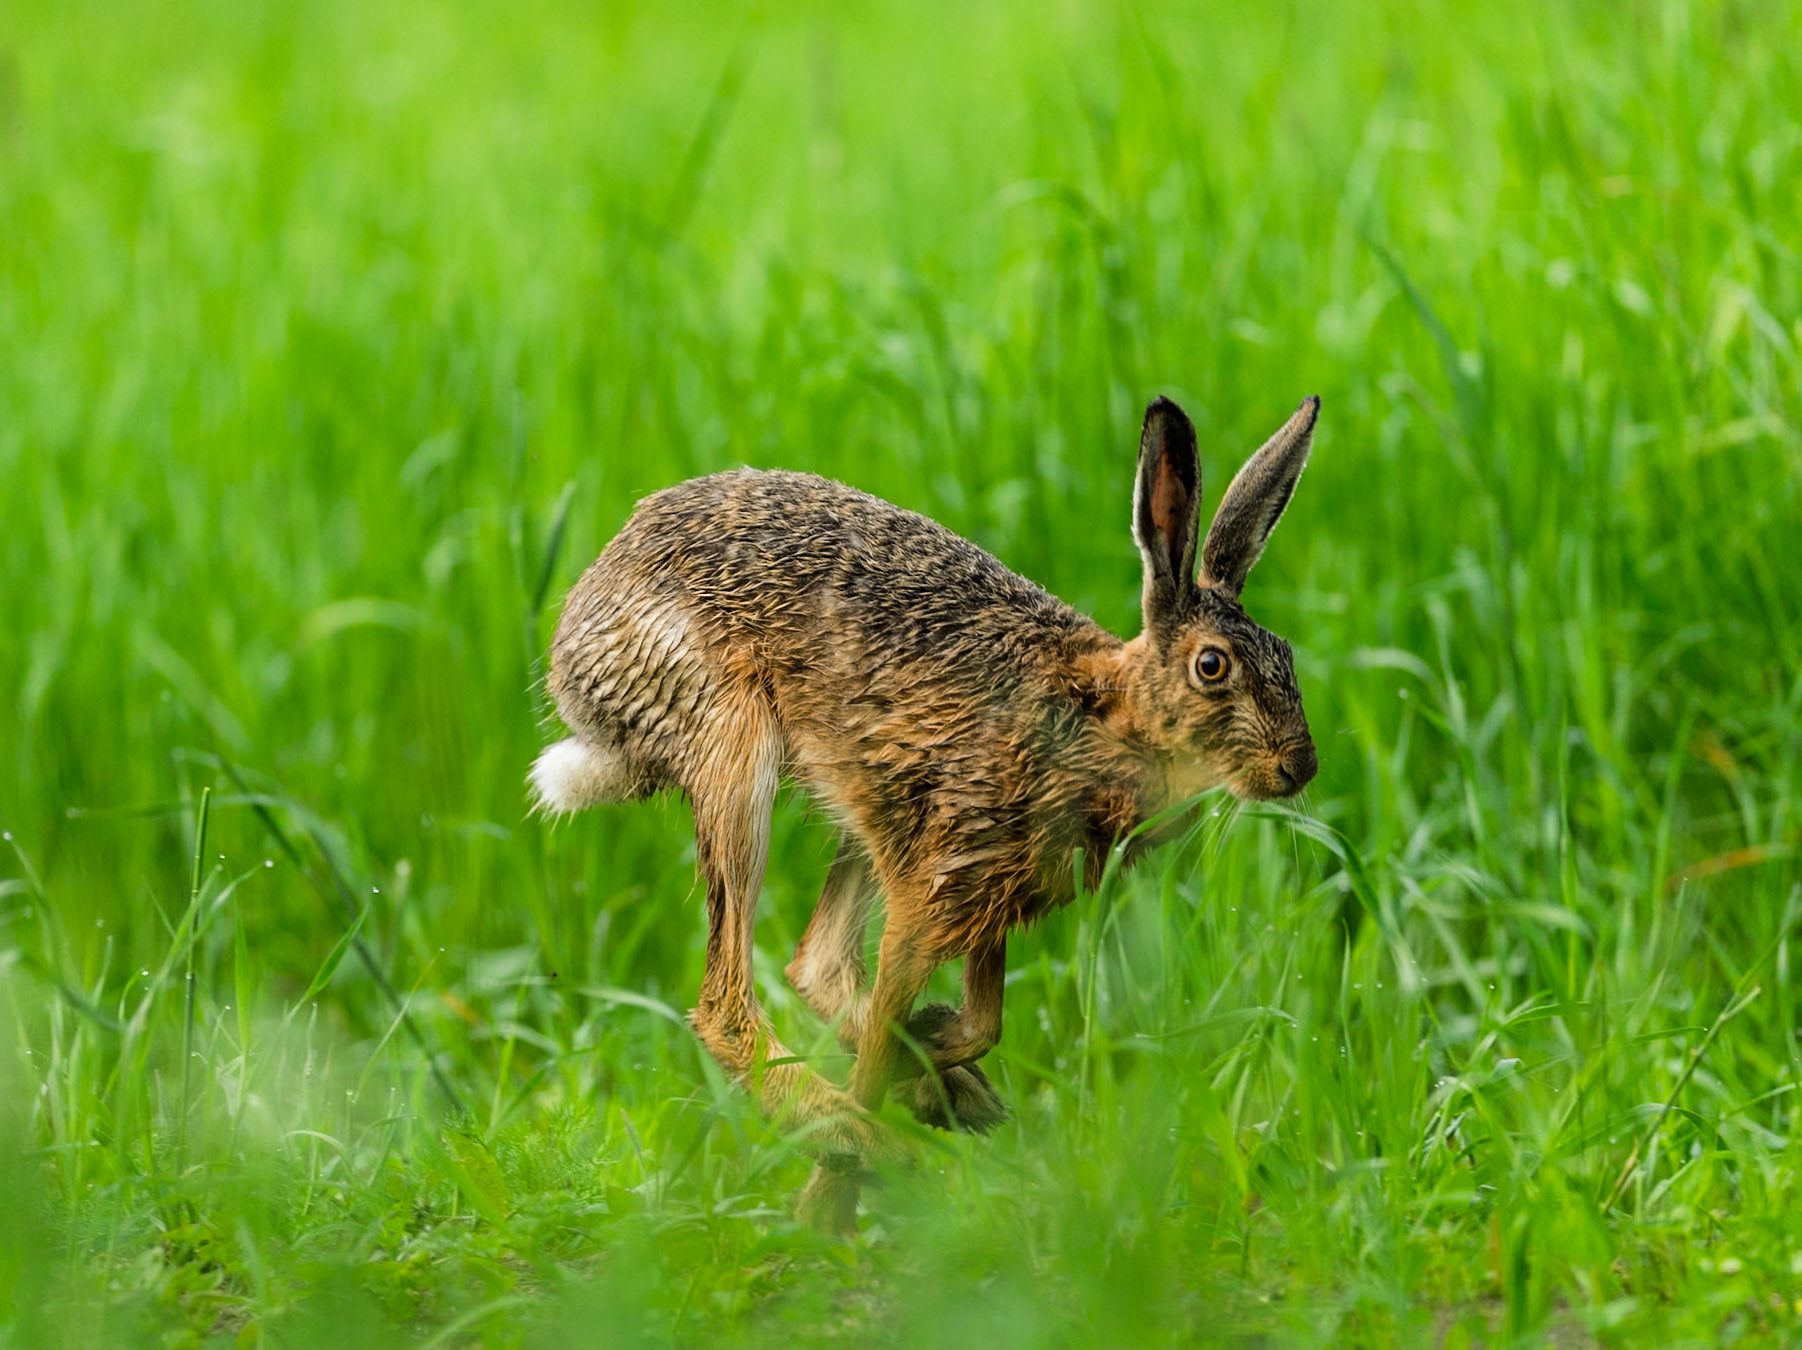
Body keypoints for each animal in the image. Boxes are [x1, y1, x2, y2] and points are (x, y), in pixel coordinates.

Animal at [531, 394, 1320, 1230]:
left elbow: (981, 1021)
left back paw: (939, 1101)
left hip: (861, 804)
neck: (1106, 711)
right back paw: (871, 1143)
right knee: (727, 1005)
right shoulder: (937, 885)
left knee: (815, 962)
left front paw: (929, 1060)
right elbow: (894, 1023)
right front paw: (829, 1208)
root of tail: (579, 636)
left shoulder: (990, 892)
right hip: (733, 749)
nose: (1299, 767)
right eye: (1213, 667)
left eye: (1286, 656)